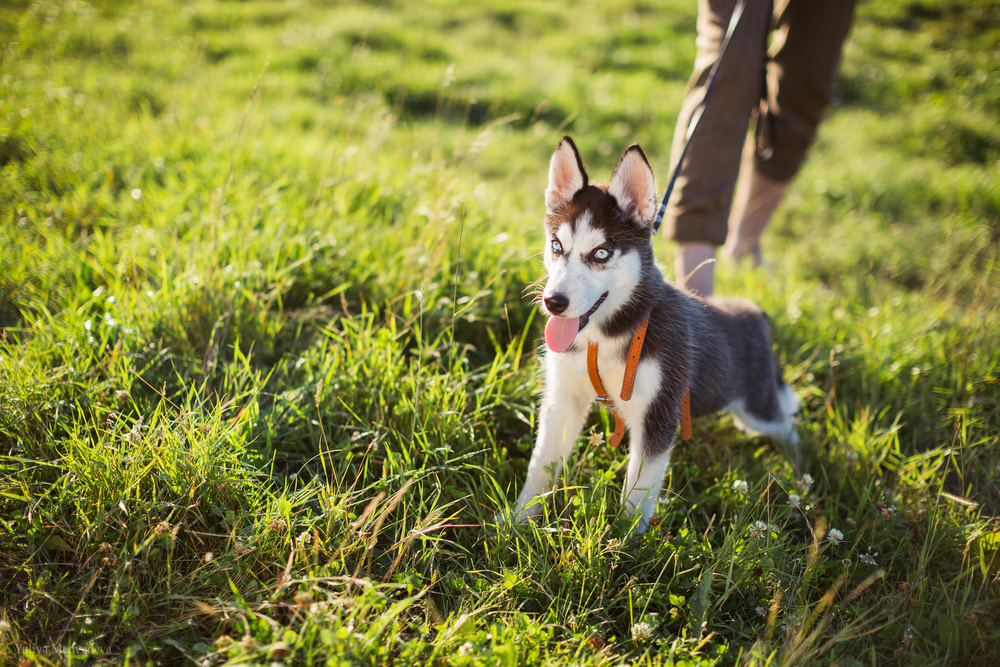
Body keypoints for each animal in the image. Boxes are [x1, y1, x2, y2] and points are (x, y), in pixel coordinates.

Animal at [504, 137, 800, 536]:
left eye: (601, 253)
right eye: (556, 246)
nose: (554, 302)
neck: (605, 338)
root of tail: (754, 312)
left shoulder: (657, 415)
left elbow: (637, 493)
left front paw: (622, 544)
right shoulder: (563, 399)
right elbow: (540, 465)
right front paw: (516, 522)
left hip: (756, 411)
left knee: (787, 425)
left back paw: (799, 469)